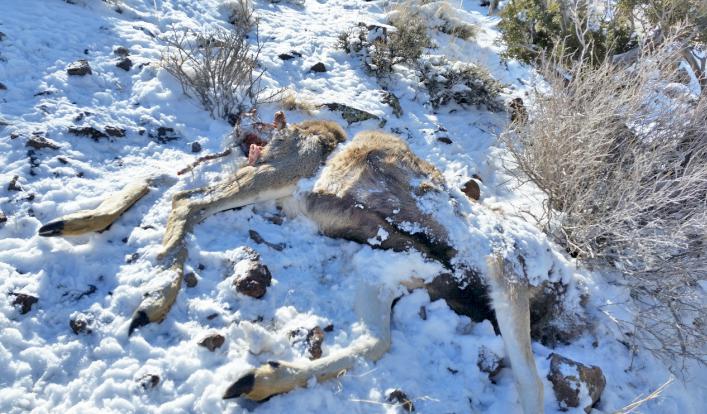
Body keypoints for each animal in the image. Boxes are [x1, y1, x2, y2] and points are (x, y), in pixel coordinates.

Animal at [38, 114, 557, 413]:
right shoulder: (501, 273)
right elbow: (532, 384)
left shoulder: (384, 274)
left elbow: (376, 342)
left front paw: (256, 380)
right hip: (280, 173)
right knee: (187, 199)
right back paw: (152, 297)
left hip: (273, 186)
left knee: (175, 187)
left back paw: (74, 227)